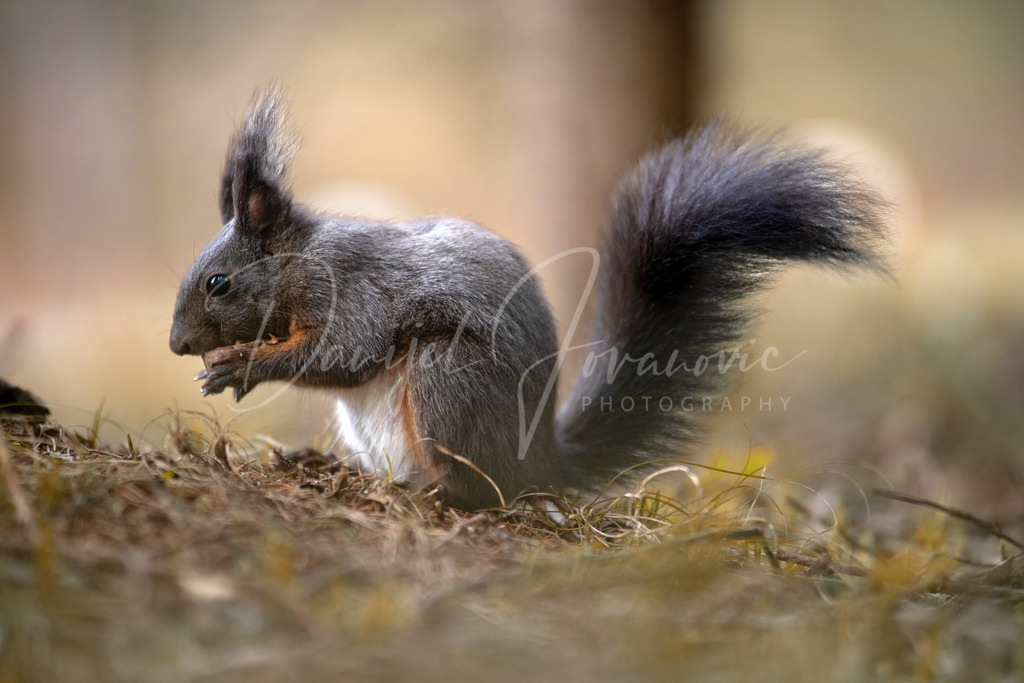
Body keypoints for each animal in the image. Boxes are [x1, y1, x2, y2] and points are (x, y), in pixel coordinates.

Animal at [170, 89, 886, 510]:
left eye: (218, 282)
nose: (177, 345)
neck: (301, 263)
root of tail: (538, 461)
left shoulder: (355, 290)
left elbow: (343, 354)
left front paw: (241, 365)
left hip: (447, 382)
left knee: (480, 489)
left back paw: (442, 495)